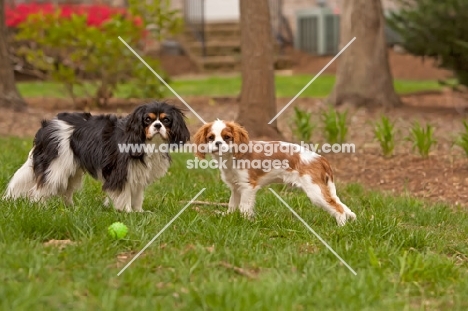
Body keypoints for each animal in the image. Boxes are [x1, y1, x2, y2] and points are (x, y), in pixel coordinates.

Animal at [3, 101, 190, 213]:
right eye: (147, 120)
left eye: (166, 120)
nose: (157, 125)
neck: (146, 142)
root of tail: (47, 126)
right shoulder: (120, 173)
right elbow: (124, 194)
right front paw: (127, 212)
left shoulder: (136, 173)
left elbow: (137, 195)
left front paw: (139, 212)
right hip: (55, 166)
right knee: (41, 189)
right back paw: (41, 208)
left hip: (71, 170)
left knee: (65, 190)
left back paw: (70, 209)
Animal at [192, 120, 356, 227]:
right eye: (211, 138)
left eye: (227, 137)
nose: (218, 143)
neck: (231, 157)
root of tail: (321, 159)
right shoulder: (236, 187)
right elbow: (233, 204)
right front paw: (229, 216)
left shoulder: (247, 187)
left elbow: (244, 206)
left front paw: (244, 221)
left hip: (315, 192)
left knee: (338, 208)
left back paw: (340, 228)